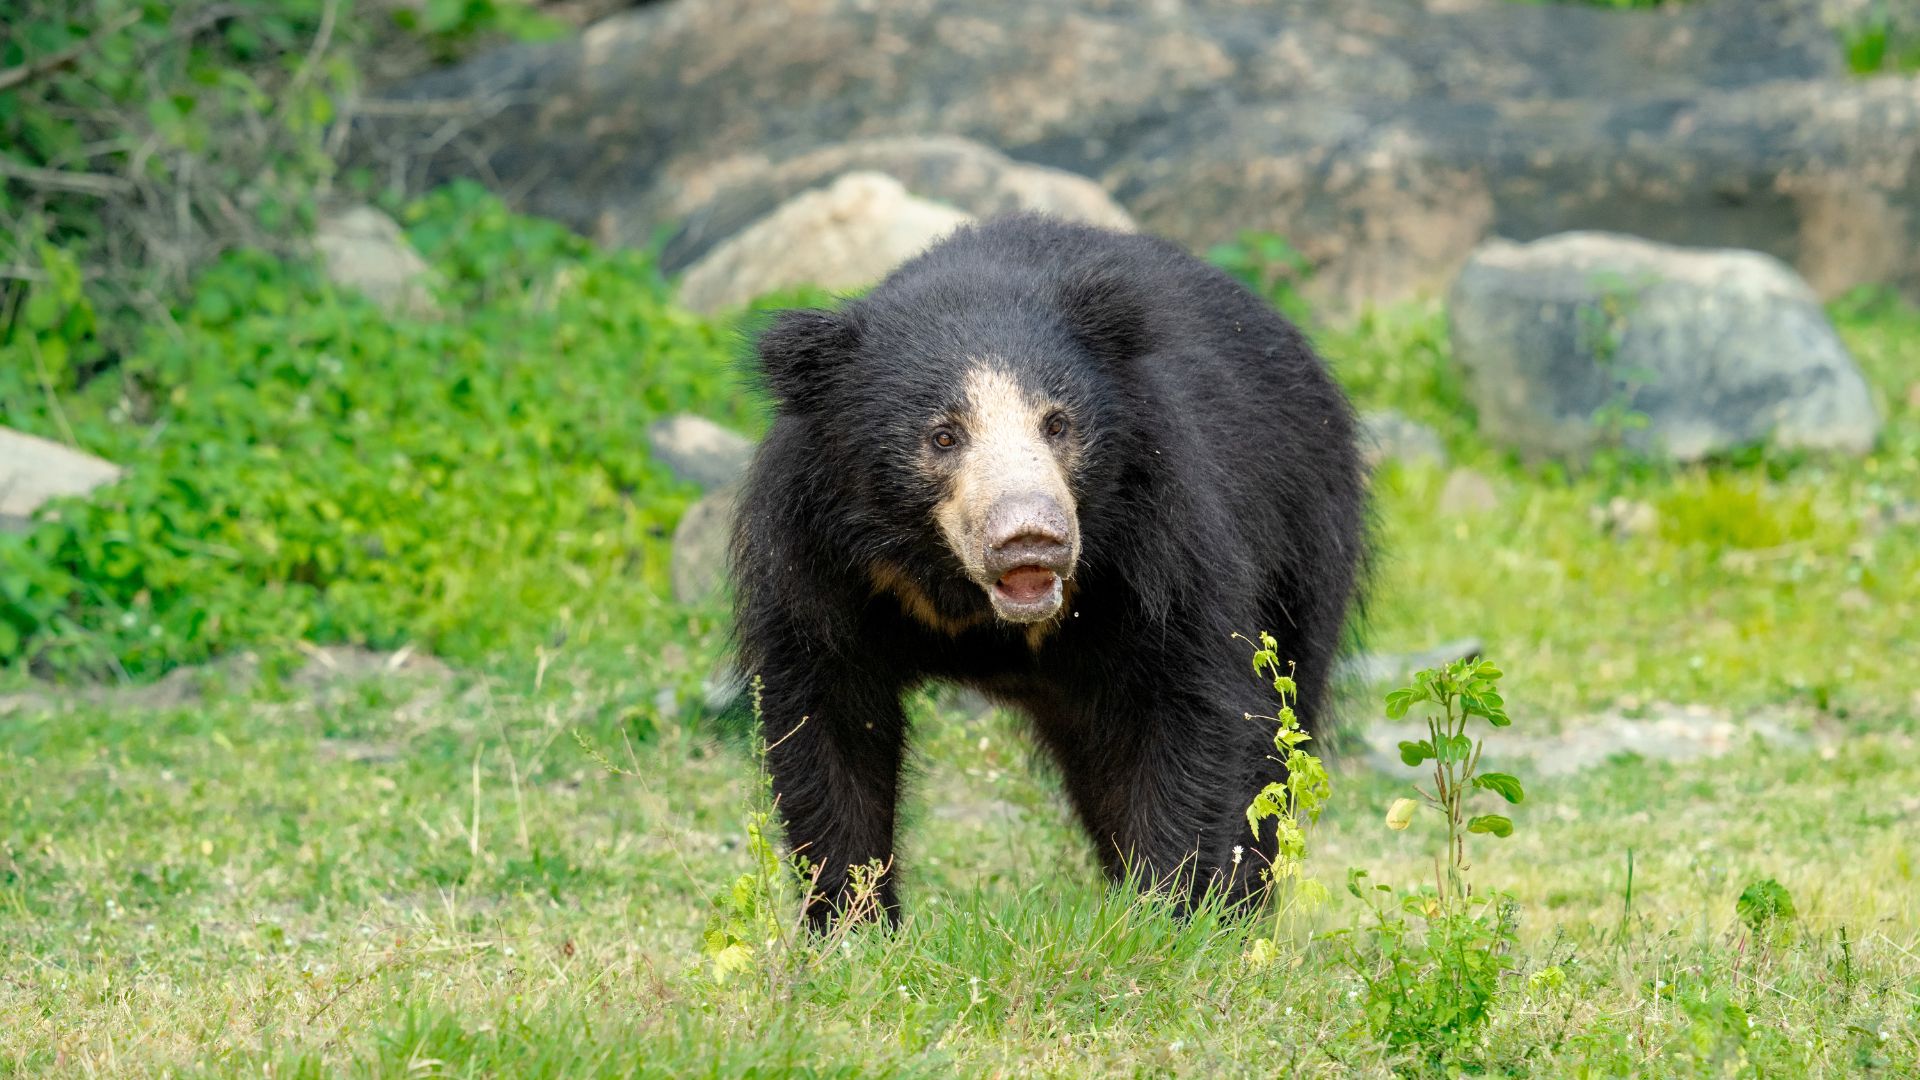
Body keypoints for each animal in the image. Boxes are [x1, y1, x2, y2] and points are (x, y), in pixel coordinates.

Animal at [730, 214, 1367, 929]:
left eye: (1058, 423)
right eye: (944, 436)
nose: (1030, 537)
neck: (965, 596)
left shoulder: (1164, 533)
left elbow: (1196, 707)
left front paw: (1174, 915)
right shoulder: (817, 559)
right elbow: (828, 720)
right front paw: (851, 927)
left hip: (1304, 540)